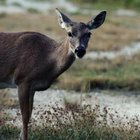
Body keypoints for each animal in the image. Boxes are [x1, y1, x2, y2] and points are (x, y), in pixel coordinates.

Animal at [0, 8, 106, 139]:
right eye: (69, 33)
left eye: (89, 34)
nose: (80, 50)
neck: (46, 58)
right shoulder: (22, 80)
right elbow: (25, 117)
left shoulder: (32, 87)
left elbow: (29, 115)